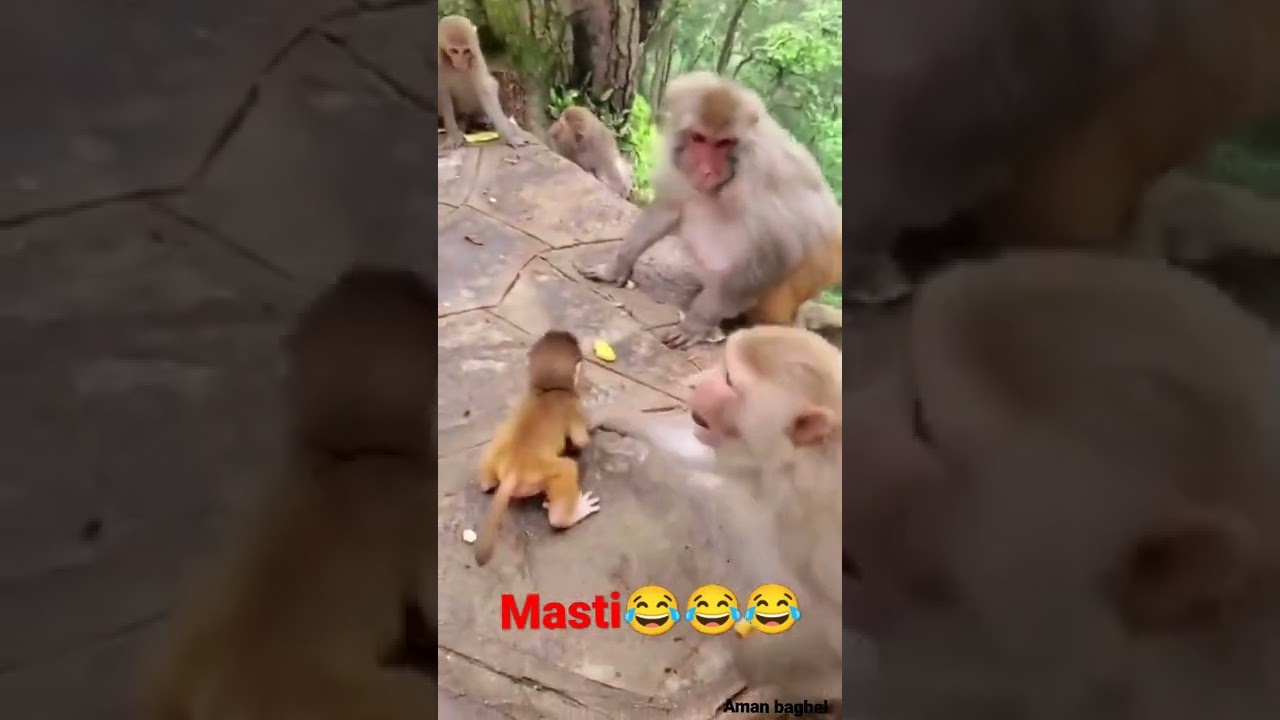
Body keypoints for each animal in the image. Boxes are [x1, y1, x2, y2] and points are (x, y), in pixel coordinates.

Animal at [438, 15, 528, 150]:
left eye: (466, 51)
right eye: (454, 50)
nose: (461, 62)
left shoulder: (475, 56)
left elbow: (486, 88)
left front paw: (510, 136)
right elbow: (443, 93)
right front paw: (454, 136)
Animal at [473, 329, 601, 567]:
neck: (547, 389)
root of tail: (512, 470)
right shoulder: (572, 407)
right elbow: (580, 440)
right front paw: (593, 429)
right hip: (540, 475)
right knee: (567, 468)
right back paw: (568, 515)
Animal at [575, 71, 843, 349]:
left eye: (724, 143)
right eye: (699, 138)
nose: (707, 171)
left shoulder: (764, 173)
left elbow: (778, 253)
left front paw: (696, 323)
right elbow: (670, 207)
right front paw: (616, 268)